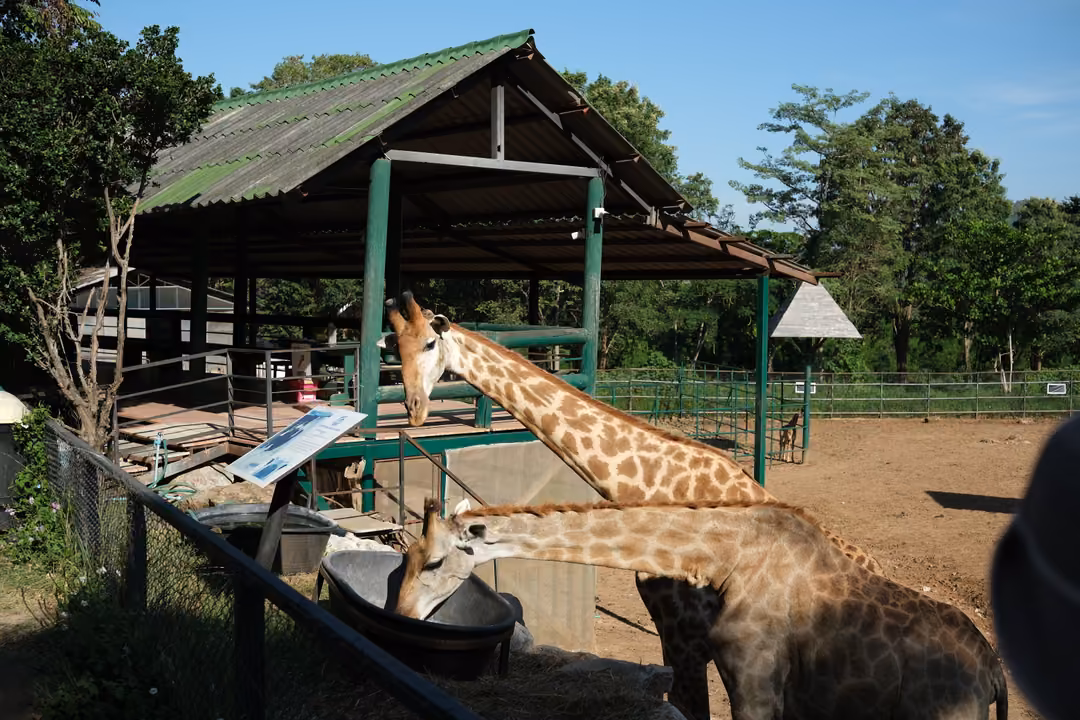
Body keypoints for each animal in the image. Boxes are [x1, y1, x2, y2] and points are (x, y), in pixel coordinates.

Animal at [377, 291, 884, 719]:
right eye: (394, 349)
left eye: (429, 343)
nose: (415, 408)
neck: (650, 482)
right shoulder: (670, 633)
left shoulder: (688, 635)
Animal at [398, 497, 1008, 720]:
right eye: (406, 556)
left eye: (434, 562)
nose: (401, 613)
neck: (726, 557)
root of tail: (993, 673)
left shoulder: (756, 684)